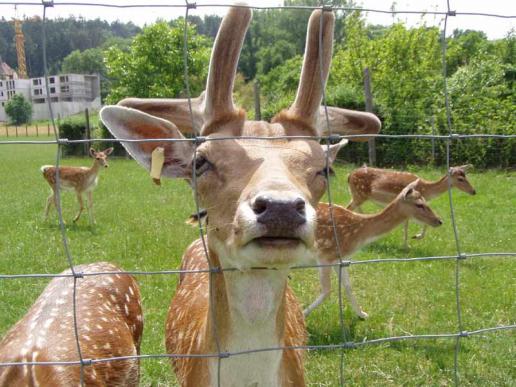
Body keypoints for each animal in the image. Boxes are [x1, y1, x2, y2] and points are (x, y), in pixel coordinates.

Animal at [304, 182, 442, 318]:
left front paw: (362, 314)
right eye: (419, 204)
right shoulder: (325, 255)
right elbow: (327, 290)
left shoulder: (340, 259)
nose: (439, 221)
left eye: (425, 201)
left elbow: (348, 286)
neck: (359, 235)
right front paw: (304, 314)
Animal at [346, 164, 476, 249]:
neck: (426, 189)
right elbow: (411, 225)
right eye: (460, 179)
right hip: (359, 194)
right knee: (349, 208)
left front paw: (411, 240)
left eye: (466, 176)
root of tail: (349, 175)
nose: (474, 191)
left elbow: (413, 224)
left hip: (358, 196)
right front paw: (410, 242)